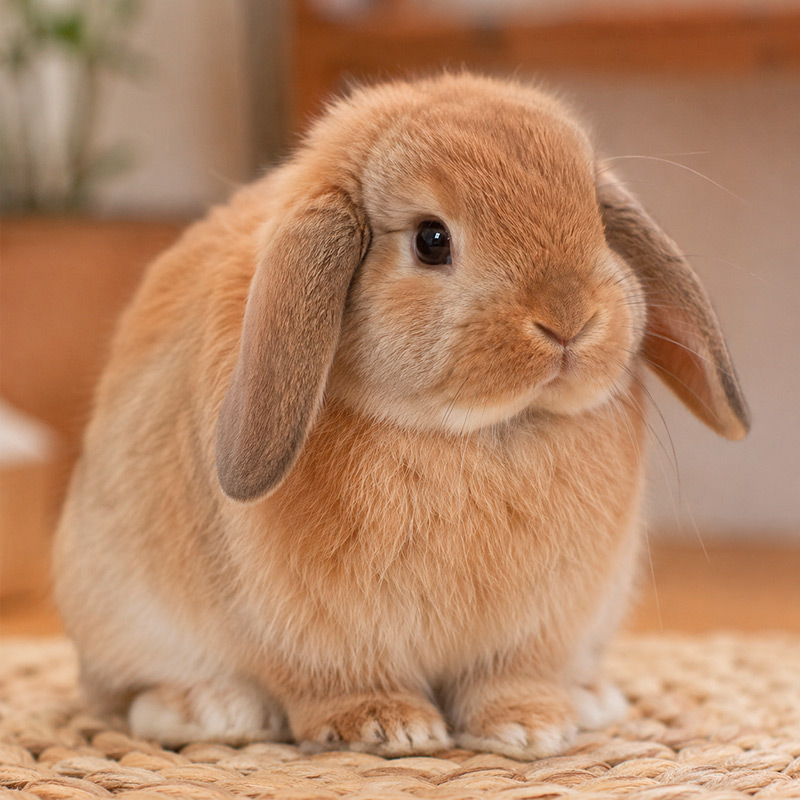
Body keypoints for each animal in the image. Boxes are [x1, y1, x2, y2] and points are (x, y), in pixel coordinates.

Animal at [54, 72, 749, 760]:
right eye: (431, 240)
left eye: (599, 225)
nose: (569, 320)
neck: (477, 431)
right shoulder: (312, 634)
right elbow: (333, 681)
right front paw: (385, 726)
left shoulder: (536, 632)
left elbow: (512, 679)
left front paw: (530, 727)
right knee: (130, 694)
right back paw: (211, 712)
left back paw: (591, 699)